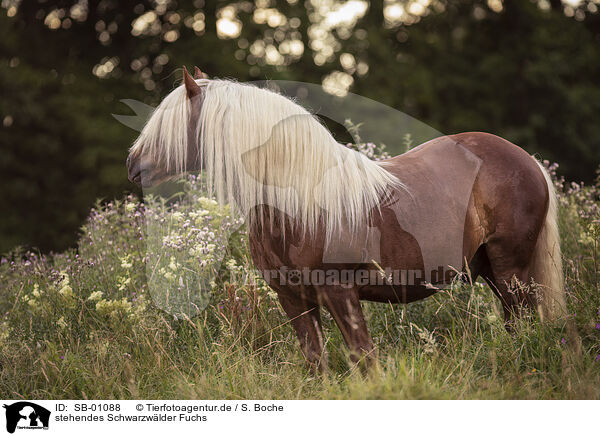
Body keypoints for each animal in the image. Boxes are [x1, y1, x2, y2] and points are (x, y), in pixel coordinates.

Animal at [124, 66, 564, 370]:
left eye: (168, 125)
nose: (132, 165)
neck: (299, 206)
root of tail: (526, 159)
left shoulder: (340, 293)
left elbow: (364, 360)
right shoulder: (293, 299)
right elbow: (316, 363)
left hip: (511, 269)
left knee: (524, 322)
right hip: (490, 269)